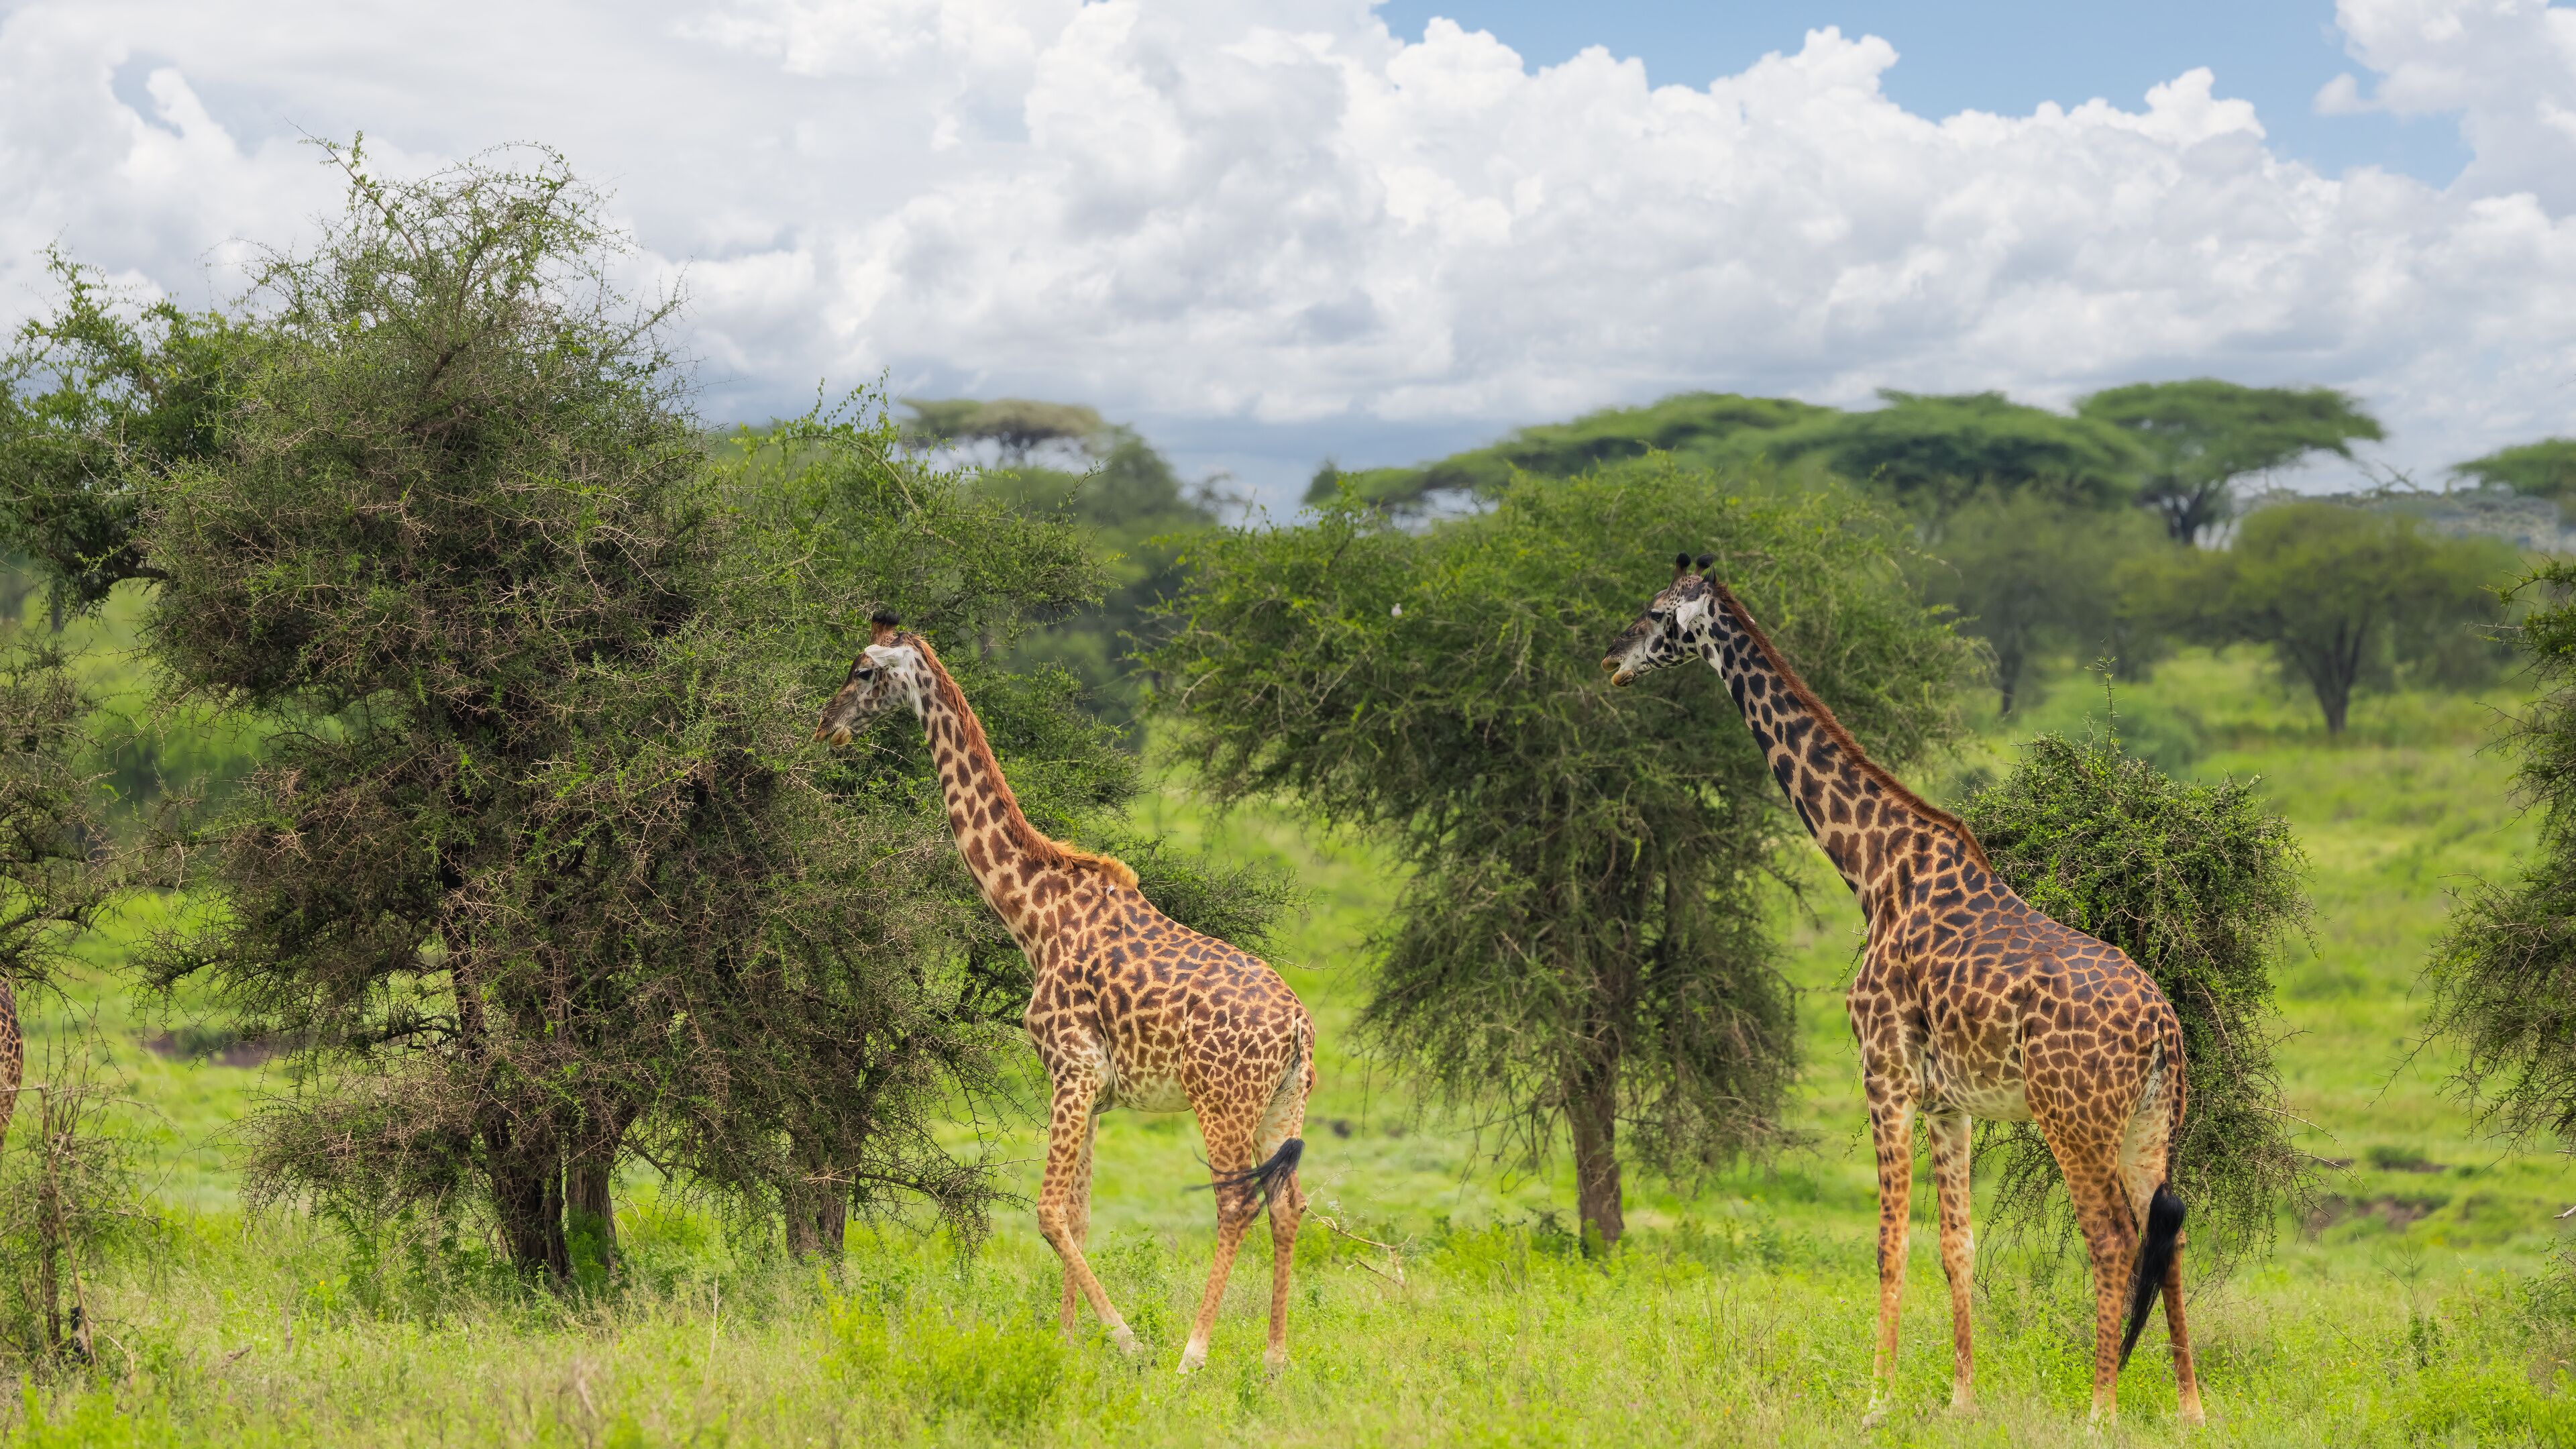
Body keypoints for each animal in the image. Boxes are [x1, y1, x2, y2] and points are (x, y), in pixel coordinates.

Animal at [813, 614, 1315, 1374]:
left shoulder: (1070, 1068)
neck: (1035, 916)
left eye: (864, 671)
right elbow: (1077, 1214)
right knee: (1288, 1206)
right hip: (1284, 1102)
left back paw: (1192, 1355)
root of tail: (1298, 1027)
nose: (828, 725)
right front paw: (1069, 1344)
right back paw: (1275, 1362)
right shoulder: (1099, 1090)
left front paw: (1126, 1340)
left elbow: (1048, 1212)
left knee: (1236, 1206)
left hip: (1221, 1102)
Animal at [1601, 555, 2202, 1428]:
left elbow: (1891, 1241)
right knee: (2173, 1230)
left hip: (2074, 1118)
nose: (1610, 658)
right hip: (2153, 1122)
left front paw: (1876, 1401)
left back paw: (2100, 1410)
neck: (1872, 867)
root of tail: (2163, 1025)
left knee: (2116, 1240)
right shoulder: (1949, 1100)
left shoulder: (1882, 1072)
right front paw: (1961, 1400)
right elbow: (1957, 1244)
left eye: (1654, 612)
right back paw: (2191, 1408)